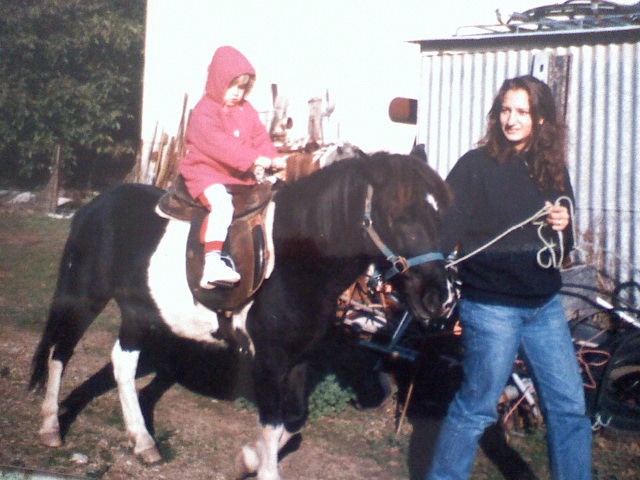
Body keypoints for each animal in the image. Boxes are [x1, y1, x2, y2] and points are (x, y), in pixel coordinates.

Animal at [29, 151, 452, 479]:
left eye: (440, 217)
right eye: (400, 218)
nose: (440, 299)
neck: (299, 256)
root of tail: (94, 206)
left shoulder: (299, 355)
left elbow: (293, 418)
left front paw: (248, 459)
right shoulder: (268, 356)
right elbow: (271, 421)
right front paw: (262, 465)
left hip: (140, 311)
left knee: (122, 362)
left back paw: (143, 441)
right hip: (84, 297)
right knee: (60, 353)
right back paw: (50, 427)